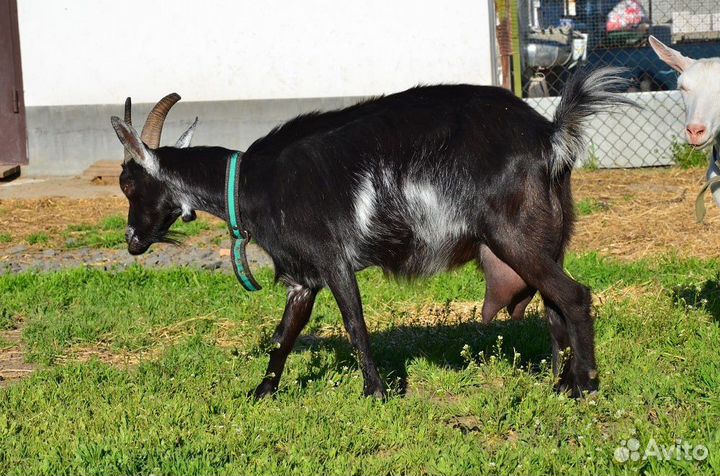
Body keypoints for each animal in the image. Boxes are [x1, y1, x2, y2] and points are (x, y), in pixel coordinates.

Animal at [111, 68, 631, 399]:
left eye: (128, 185)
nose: (133, 241)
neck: (251, 182)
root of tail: (550, 135)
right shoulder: (303, 279)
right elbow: (284, 335)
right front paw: (262, 391)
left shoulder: (333, 260)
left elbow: (355, 324)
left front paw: (376, 392)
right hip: (547, 240)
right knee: (554, 306)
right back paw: (562, 384)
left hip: (516, 238)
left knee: (575, 296)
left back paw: (586, 384)